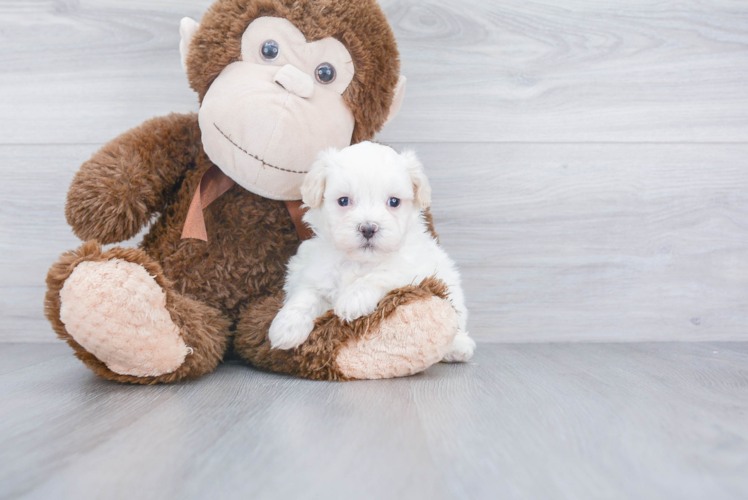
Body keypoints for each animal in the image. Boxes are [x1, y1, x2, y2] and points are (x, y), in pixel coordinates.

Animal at [268, 139, 476, 362]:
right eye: (343, 201)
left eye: (394, 201)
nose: (368, 228)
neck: (360, 261)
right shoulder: (312, 271)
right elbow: (305, 295)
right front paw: (286, 326)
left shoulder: (414, 270)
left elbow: (382, 274)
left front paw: (353, 299)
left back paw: (458, 347)